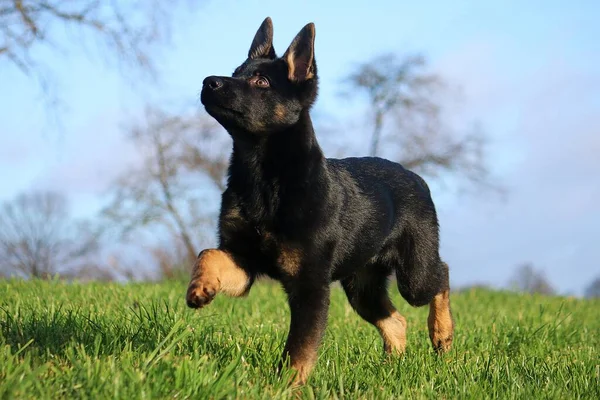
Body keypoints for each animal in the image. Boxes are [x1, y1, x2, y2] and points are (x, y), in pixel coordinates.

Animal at [185, 16, 452, 384]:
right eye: (236, 72)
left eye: (261, 81)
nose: (208, 82)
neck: (263, 179)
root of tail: (418, 178)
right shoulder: (244, 262)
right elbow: (207, 253)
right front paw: (200, 287)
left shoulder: (310, 284)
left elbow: (299, 347)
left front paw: (286, 385)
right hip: (361, 284)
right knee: (396, 320)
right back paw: (391, 367)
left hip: (414, 274)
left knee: (440, 277)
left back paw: (442, 334)